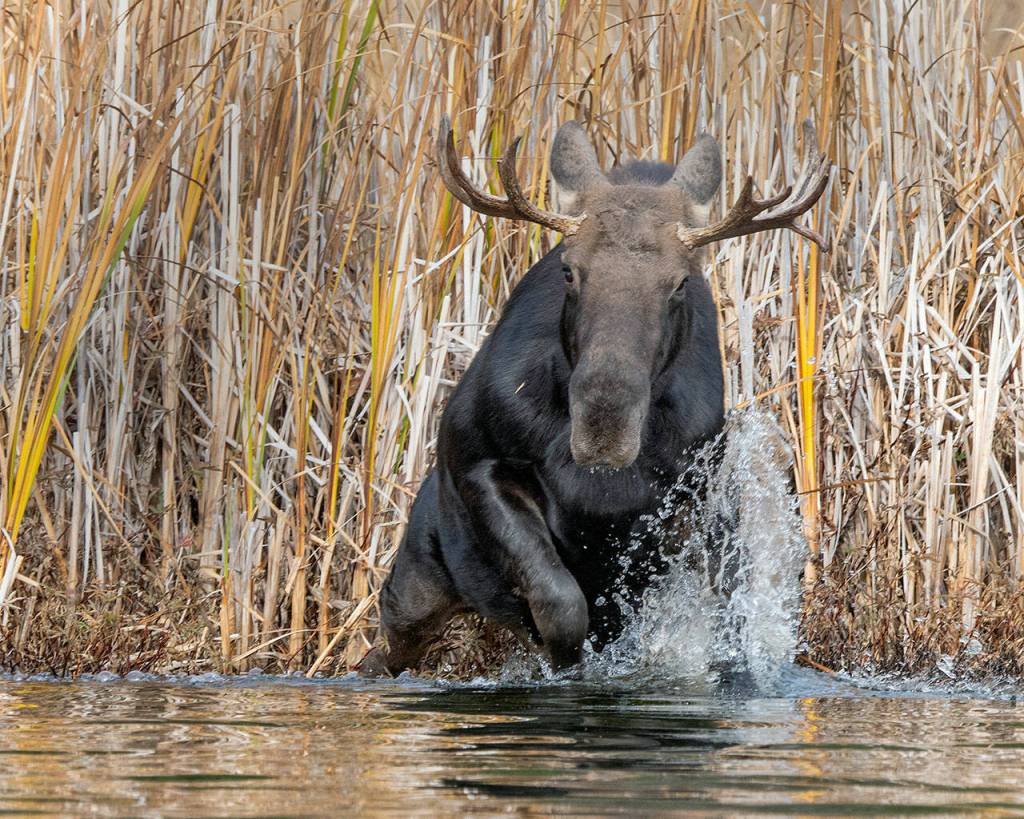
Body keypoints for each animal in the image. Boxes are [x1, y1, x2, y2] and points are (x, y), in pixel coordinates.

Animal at [359, 115, 830, 676]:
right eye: (569, 269)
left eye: (679, 283)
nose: (605, 422)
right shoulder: (477, 461)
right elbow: (560, 603)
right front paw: (563, 665)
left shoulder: (692, 503)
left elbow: (719, 614)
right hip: (413, 588)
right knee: (382, 646)